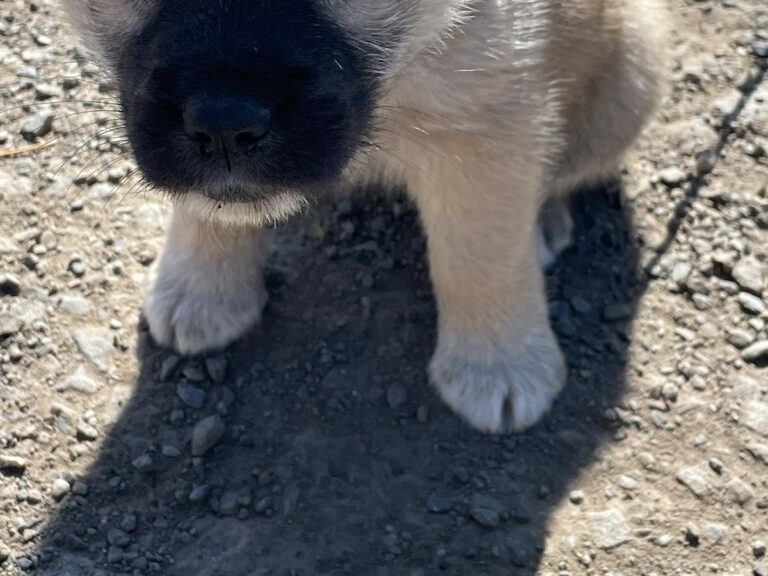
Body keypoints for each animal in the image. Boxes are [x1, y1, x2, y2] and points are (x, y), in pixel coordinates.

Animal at [60, 0, 664, 432]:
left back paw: (544, 222)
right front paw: (201, 290)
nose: (225, 126)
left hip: (632, 75)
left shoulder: (488, 126)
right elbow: (206, 210)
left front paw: (500, 362)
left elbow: (480, 257)